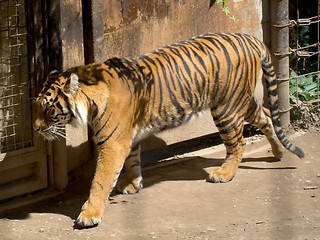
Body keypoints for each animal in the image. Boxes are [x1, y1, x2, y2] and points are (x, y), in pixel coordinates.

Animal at [33, 33, 304, 227]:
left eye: (47, 109)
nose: (35, 128)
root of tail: (249, 36)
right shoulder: (129, 138)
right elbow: (133, 162)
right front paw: (134, 185)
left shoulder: (113, 144)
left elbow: (100, 180)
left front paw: (89, 214)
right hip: (241, 101)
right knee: (266, 116)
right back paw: (278, 152)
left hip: (226, 108)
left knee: (238, 143)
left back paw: (224, 174)